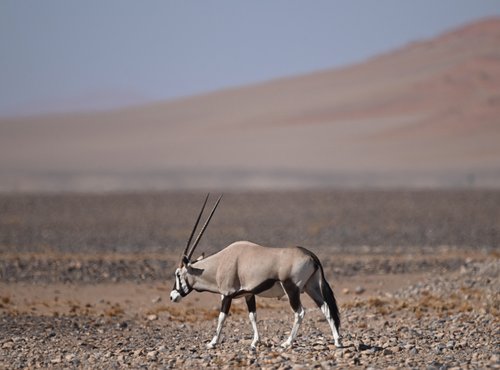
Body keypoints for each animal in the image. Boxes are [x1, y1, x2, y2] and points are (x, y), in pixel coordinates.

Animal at [170, 195, 342, 348]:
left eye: (178, 274)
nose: (172, 296)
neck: (220, 262)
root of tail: (311, 255)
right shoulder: (248, 294)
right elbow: (252, 316)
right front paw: (255, 342)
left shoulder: (227, 294)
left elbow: (221, 317)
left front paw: (212, 343)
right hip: (311, 287)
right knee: (326, 308)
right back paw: (337, 341)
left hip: (292, 289)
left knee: (300, 312)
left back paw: (287, 343)